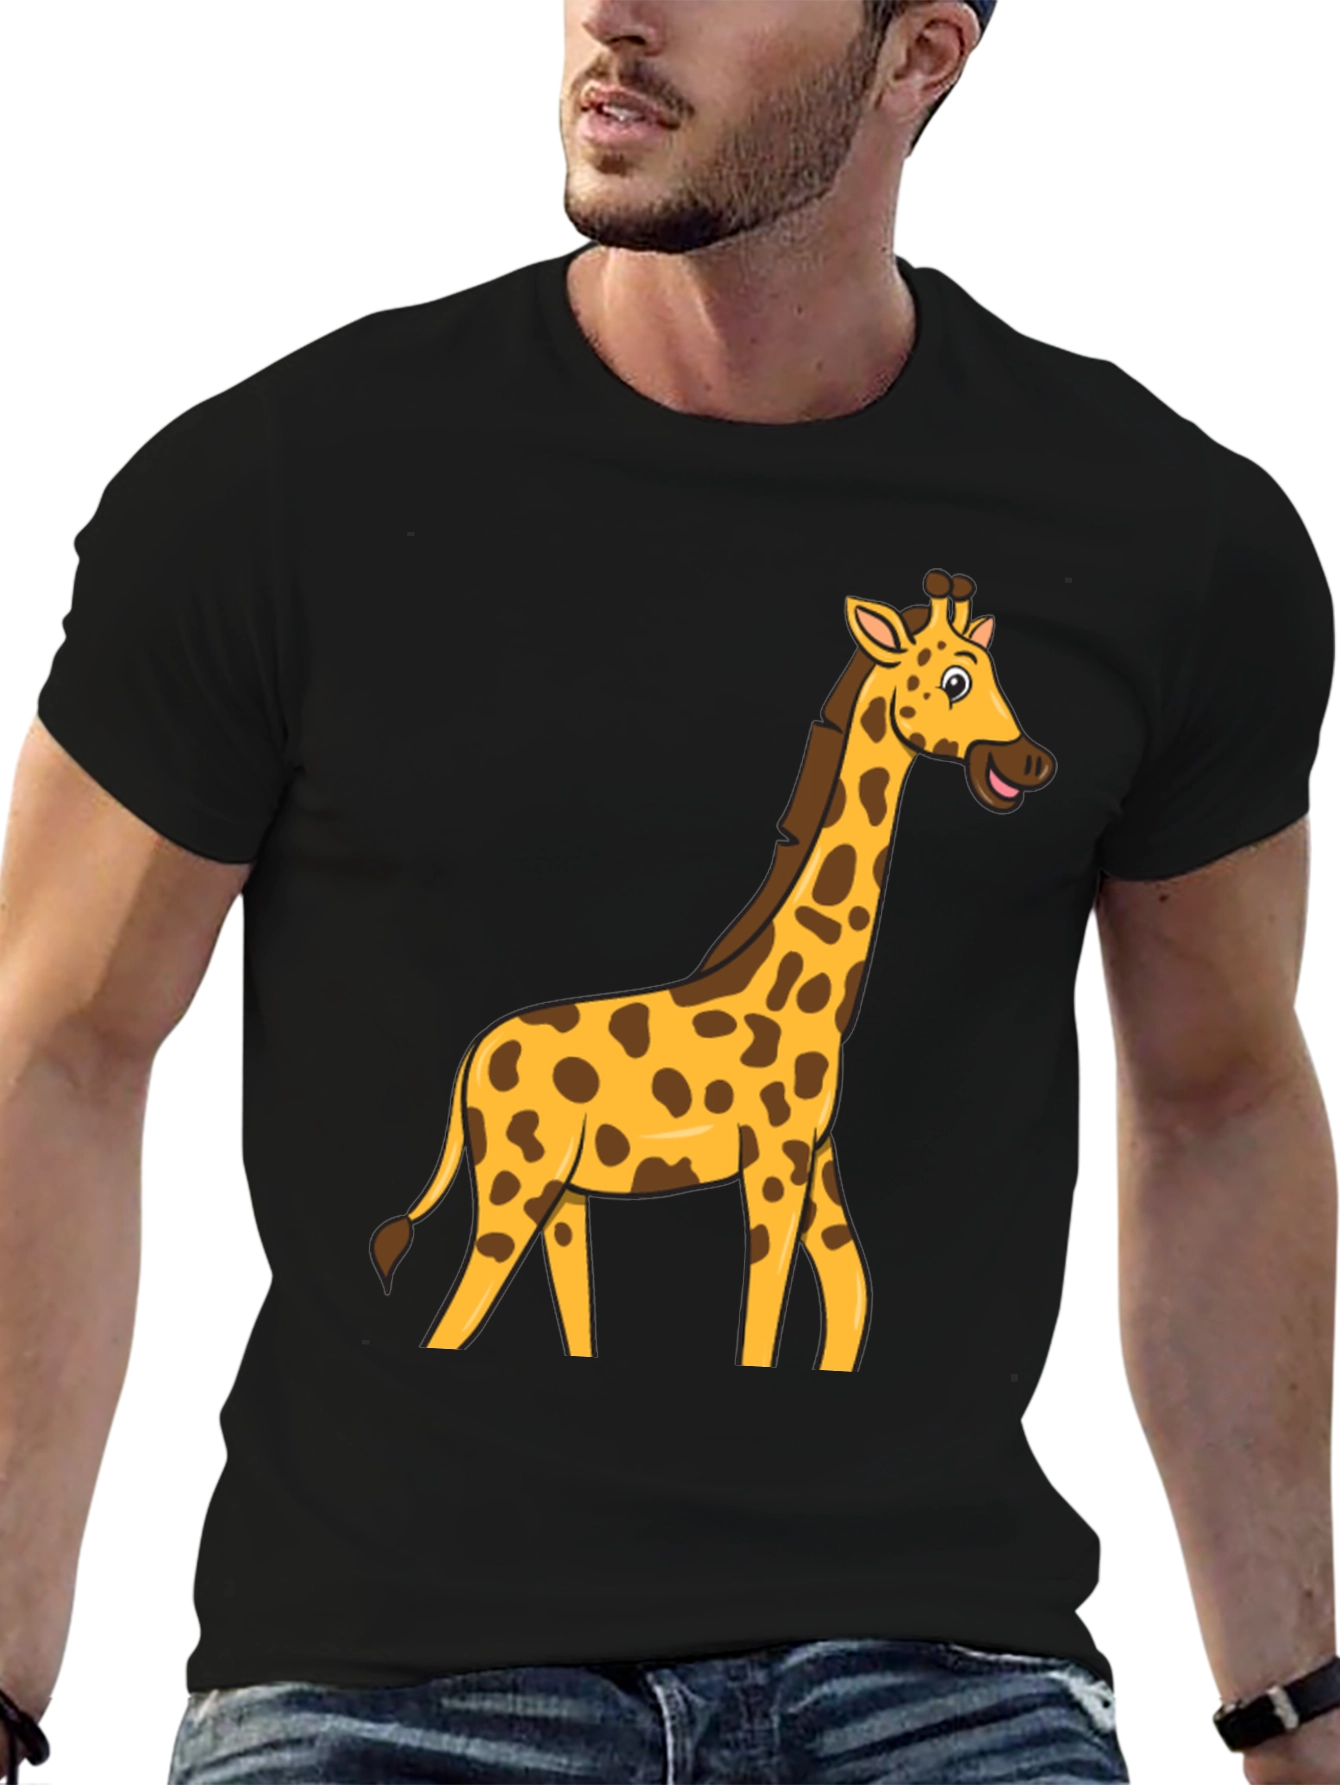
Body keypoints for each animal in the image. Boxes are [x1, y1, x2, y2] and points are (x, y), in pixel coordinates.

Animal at [373, 574, 1054, 1371]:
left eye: (994, 671)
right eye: (954, 680)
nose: (1032, 761)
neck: (812, 996)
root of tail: (474, 1059)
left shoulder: (815, 1152)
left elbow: (849, 1291)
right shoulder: (775, 1155)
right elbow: (763, 1320)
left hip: (563, 1192)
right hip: (518, 1177)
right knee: (453, 1320)